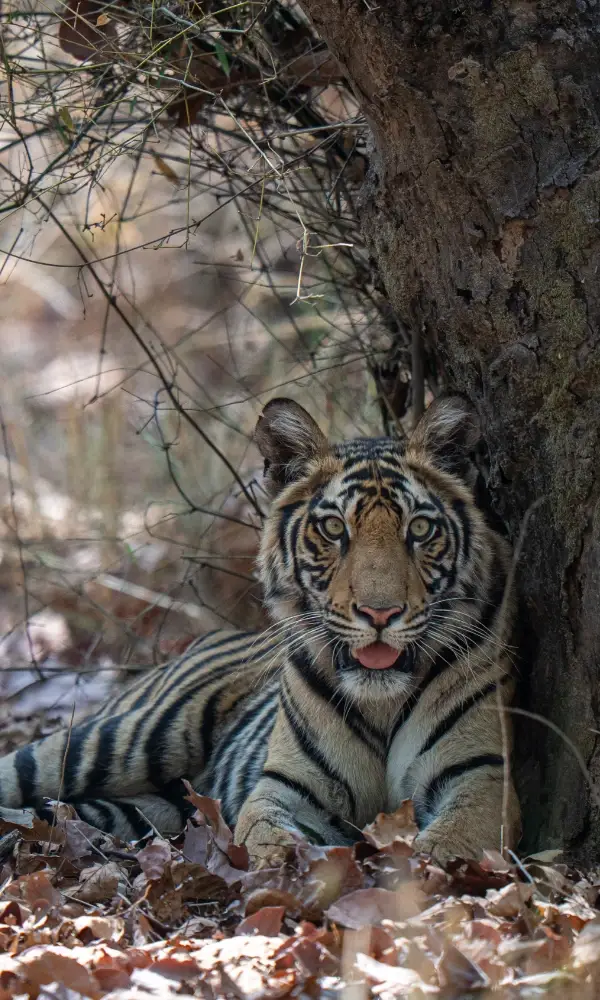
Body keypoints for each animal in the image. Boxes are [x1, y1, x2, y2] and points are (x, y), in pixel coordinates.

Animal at [0, 395, 520, 868]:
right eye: (334, 529)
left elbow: (450, 846)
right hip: (125, 737)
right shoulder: (286, 785)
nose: (380, 613)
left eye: (420, 529)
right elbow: (267, 838)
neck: (382, 701)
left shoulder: (482, 774)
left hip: (149, 805)